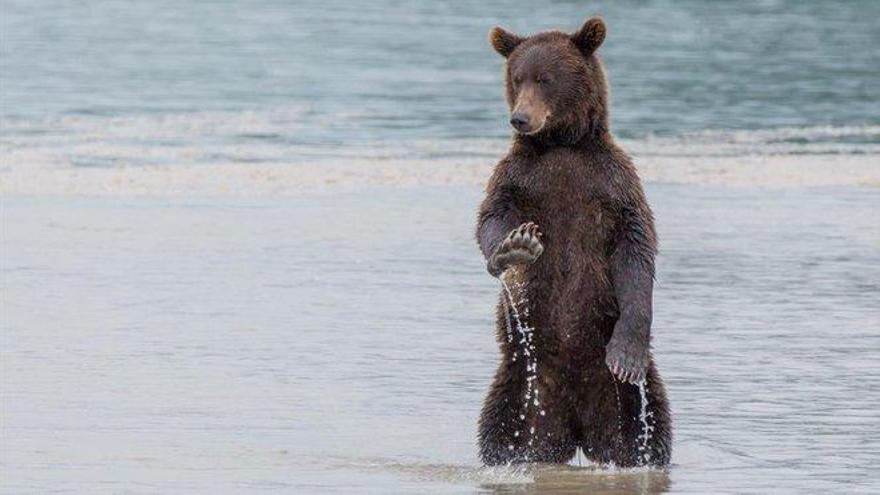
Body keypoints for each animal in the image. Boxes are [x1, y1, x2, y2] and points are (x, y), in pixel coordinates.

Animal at [474, 17, 672, 468]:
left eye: (545, 79)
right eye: (517, 77)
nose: (520, 118)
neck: (562, 144)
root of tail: (578, 432)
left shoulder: (612, 184)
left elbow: (636, 250)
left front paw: (626, 355)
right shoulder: (520, 178)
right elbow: (491, 217)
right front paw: (514, 247)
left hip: (626, 401)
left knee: (652, 431)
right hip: (520, 385)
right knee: (498, 429)